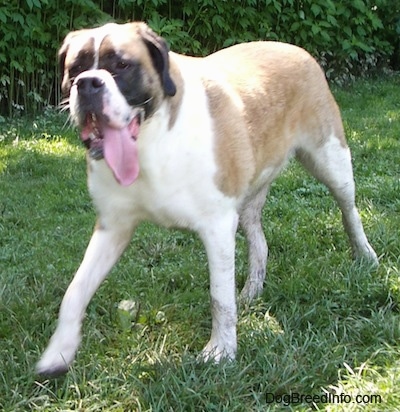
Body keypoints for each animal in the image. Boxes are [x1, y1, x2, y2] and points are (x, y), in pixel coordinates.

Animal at [36, 22, 376, 376]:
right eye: (75, 68)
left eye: (122, 65)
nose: (88, 83)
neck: (150, 143)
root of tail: (297, 50)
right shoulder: (113, 226)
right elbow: (75, 291)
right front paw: (59, 351)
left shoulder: (218, 226)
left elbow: (220, 297)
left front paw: (221, 351)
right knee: (258, 238)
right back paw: (252, 289)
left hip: (330, 158)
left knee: (349, 210)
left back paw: (365, 255)